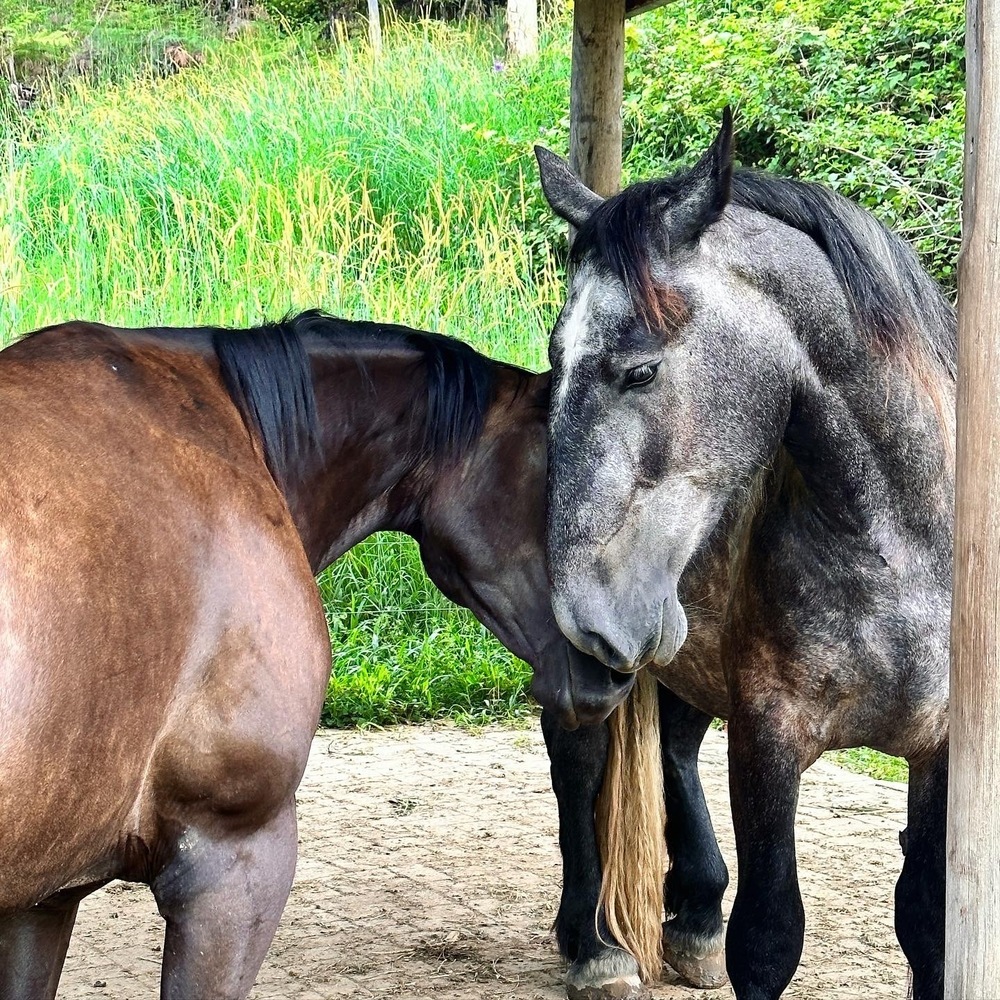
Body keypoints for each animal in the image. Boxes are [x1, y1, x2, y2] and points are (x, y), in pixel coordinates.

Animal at [534, 110, 955, 1000]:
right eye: (556, 359)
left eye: (640, 371)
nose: (587, 612)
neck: (902, 551)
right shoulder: (770, 737)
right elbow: (768, 938)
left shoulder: (941, 748)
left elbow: (928, 922)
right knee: (576, 759)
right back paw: (593, 943)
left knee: (673, 746)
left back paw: (693, 911)